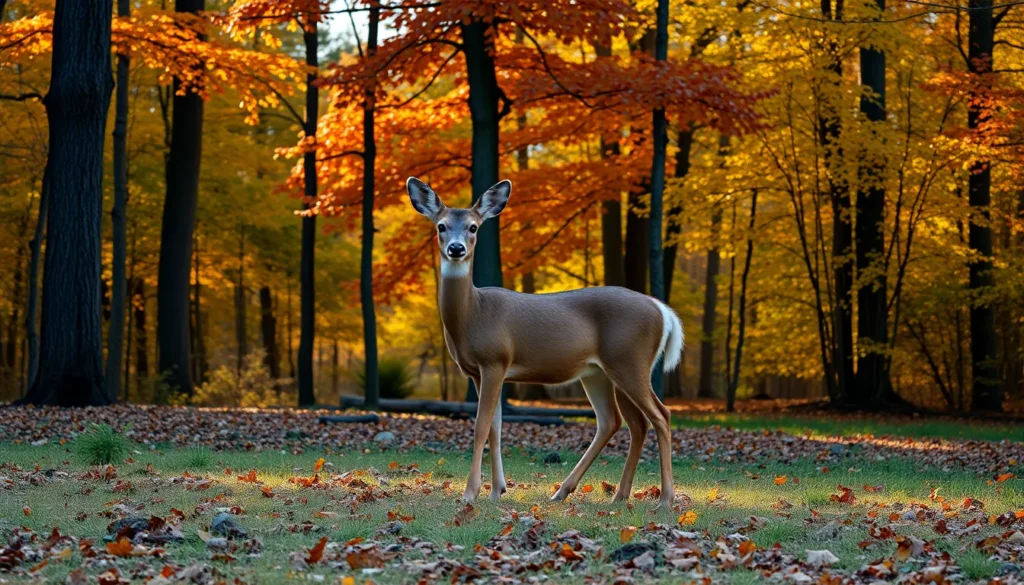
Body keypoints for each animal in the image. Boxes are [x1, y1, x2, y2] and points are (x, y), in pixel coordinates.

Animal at [406, 177, 684, 510]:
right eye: (441, 226)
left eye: (473, 227)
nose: (456, 248)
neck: (473, 313)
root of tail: (663, 311)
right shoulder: (478, 371)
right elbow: (496, 428)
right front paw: (497, 490)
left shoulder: (495, 360)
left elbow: (480, 426)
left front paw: (470, 492)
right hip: (601, 372)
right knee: (621, 422)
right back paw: (596, 493)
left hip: (630, 361)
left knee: (661, 416)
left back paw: (665, 499)